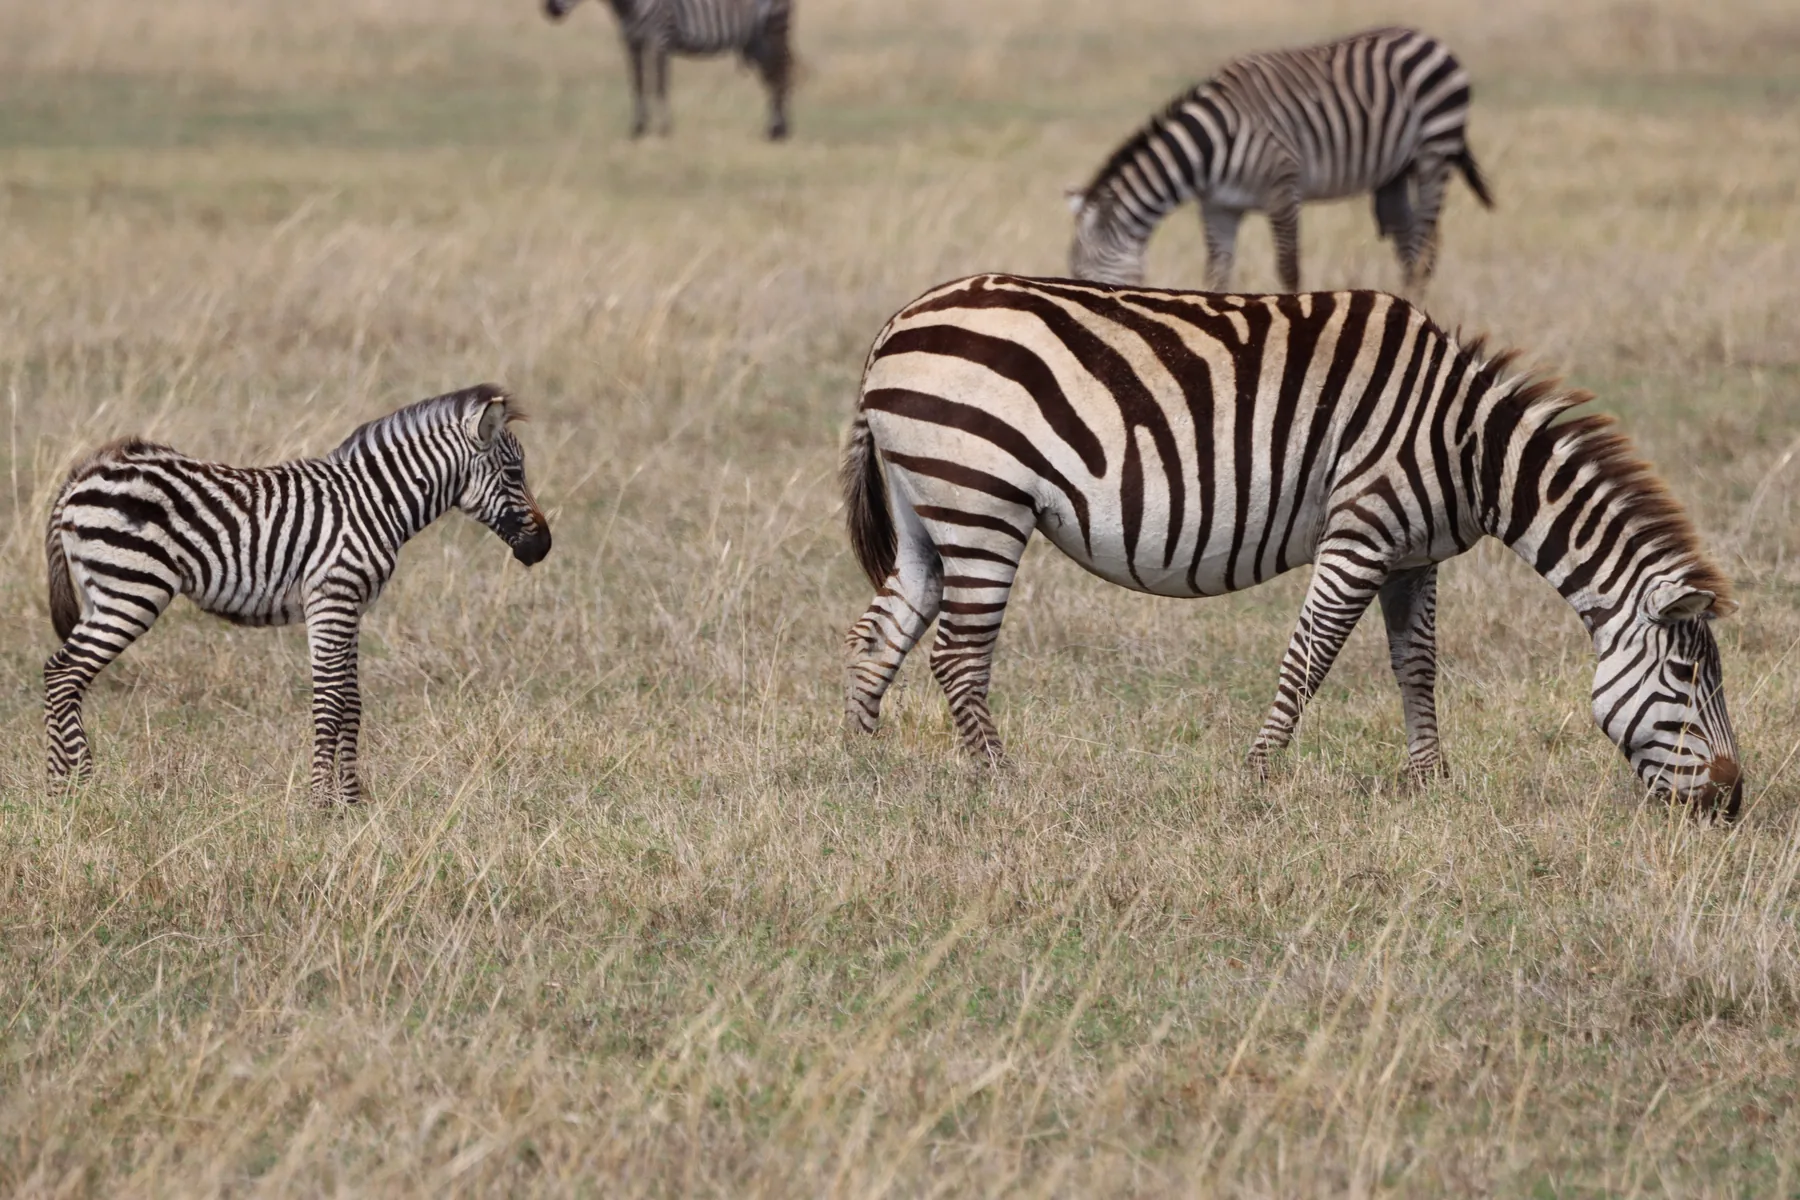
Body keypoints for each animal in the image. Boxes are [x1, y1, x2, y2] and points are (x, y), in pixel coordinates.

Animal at [43, 384, 552, 807]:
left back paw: (57, 786)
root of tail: (83, 474)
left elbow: (352, 702)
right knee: (64, 673)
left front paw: (351, 801)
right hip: (130, 589)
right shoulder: (332, 598)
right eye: (514, 472)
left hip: (103, 592)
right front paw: (320, 804)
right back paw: (83, 783)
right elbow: (330, 701)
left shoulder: (350, 605)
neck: (376, 504)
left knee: (58, 673)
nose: (544, 547)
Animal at [543, 0, 793, 141]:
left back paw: (778, 132)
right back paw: (775, 130)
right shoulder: (631, 42)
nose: (549, 9)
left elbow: (660, 86)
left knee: (779, 77)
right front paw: (638, 129)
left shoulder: (660, 39)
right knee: (773, 78)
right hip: (756, 40)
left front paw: (664, 129)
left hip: (773, 30)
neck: (627, 5)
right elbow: (637, 85)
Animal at [841, 274, 1743, 817]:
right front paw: (1259, 776)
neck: (1468, 447)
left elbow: (1416, 664)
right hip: (980, 500)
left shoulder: (1414, 555)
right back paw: (999, 780)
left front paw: (1430, 782)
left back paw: (858, 765)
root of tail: (896, 322)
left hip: (928, 507)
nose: (1732, 803)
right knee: (957, 653)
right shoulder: (1363, 530)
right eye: (1687, 676)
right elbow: (1309, 656)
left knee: (879, 632)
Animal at [1067, 26, 1493, 294]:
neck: (1210, 147)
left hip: (1435, 149)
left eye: (1085, 277)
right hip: (1394, 171)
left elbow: (1289, 270)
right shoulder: (1219, 207)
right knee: (1408, 238)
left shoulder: (1282, 190)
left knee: (1424, 242)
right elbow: (1217, 275)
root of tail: (1428, 39)